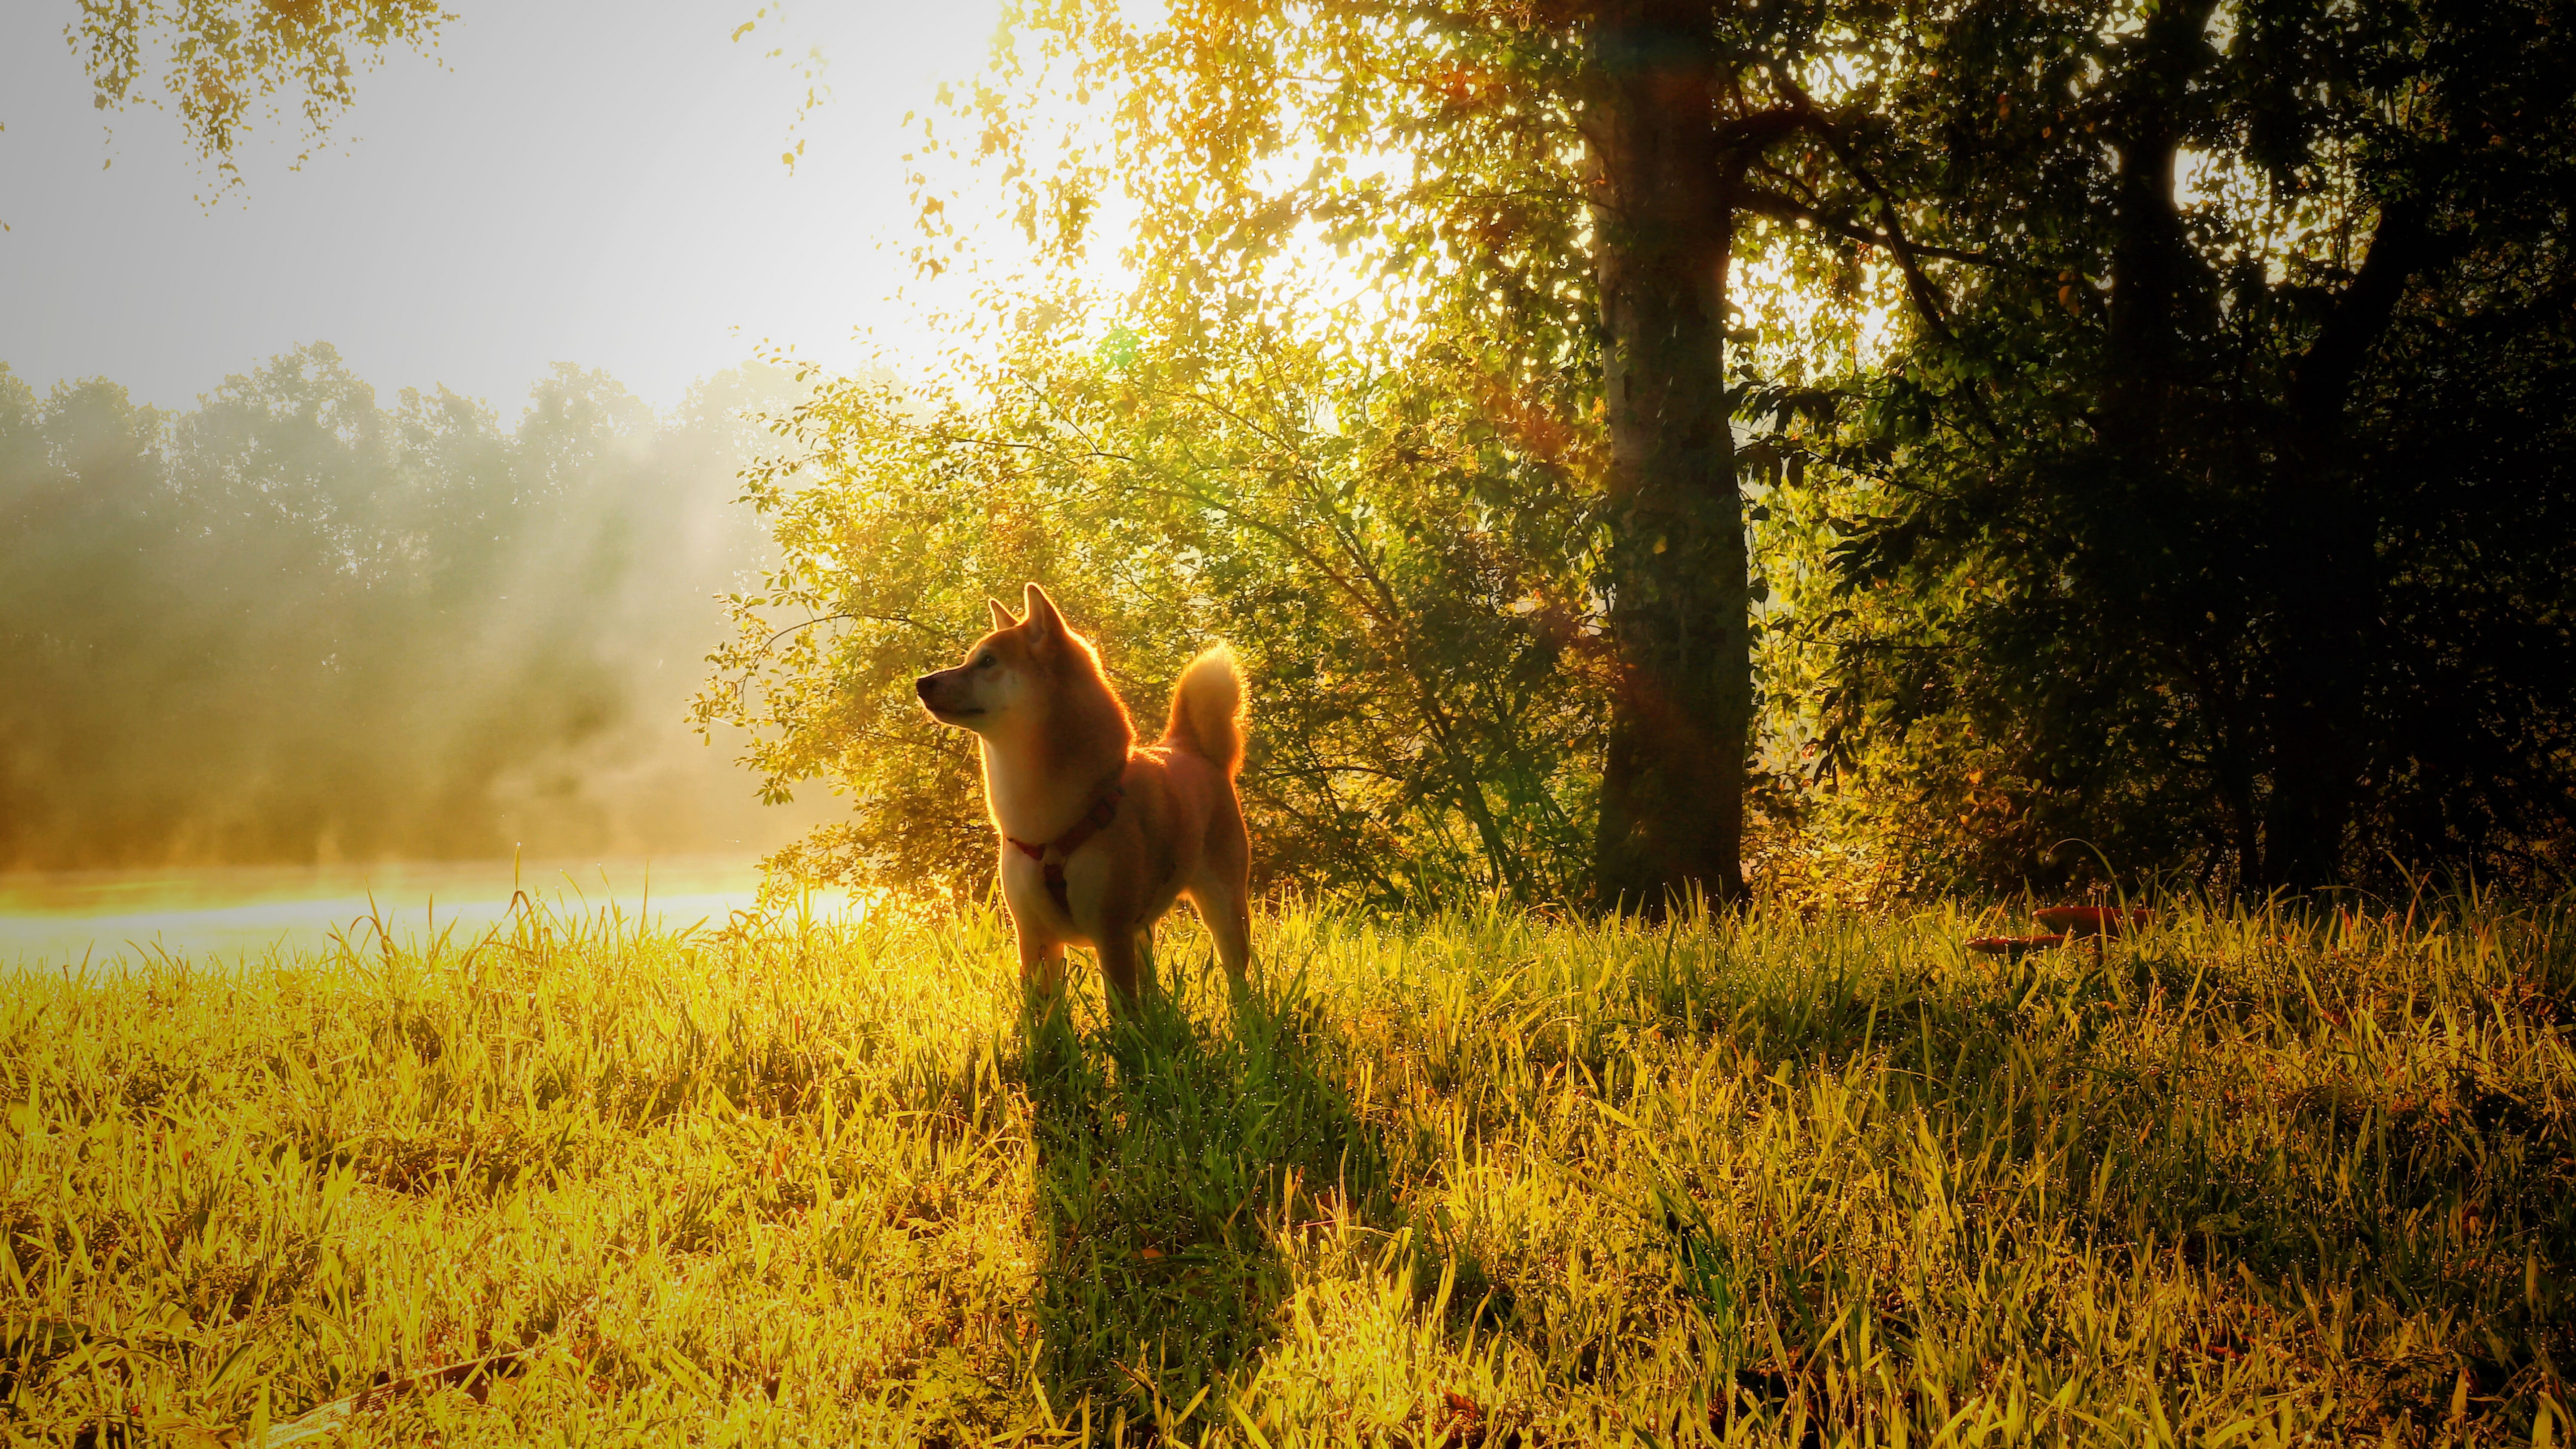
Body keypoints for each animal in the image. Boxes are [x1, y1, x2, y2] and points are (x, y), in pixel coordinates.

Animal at [922, 583, 1252, 1005]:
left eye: (988, 661)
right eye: (968, 660)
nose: (922, 683)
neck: (1043, 826)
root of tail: (1189, 747)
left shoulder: (1111, 931)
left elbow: (1123, 1011)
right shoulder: (1034, 937)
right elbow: (1040, 1013)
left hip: (1224, 907)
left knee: (1237, 971)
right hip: (1141, 928)